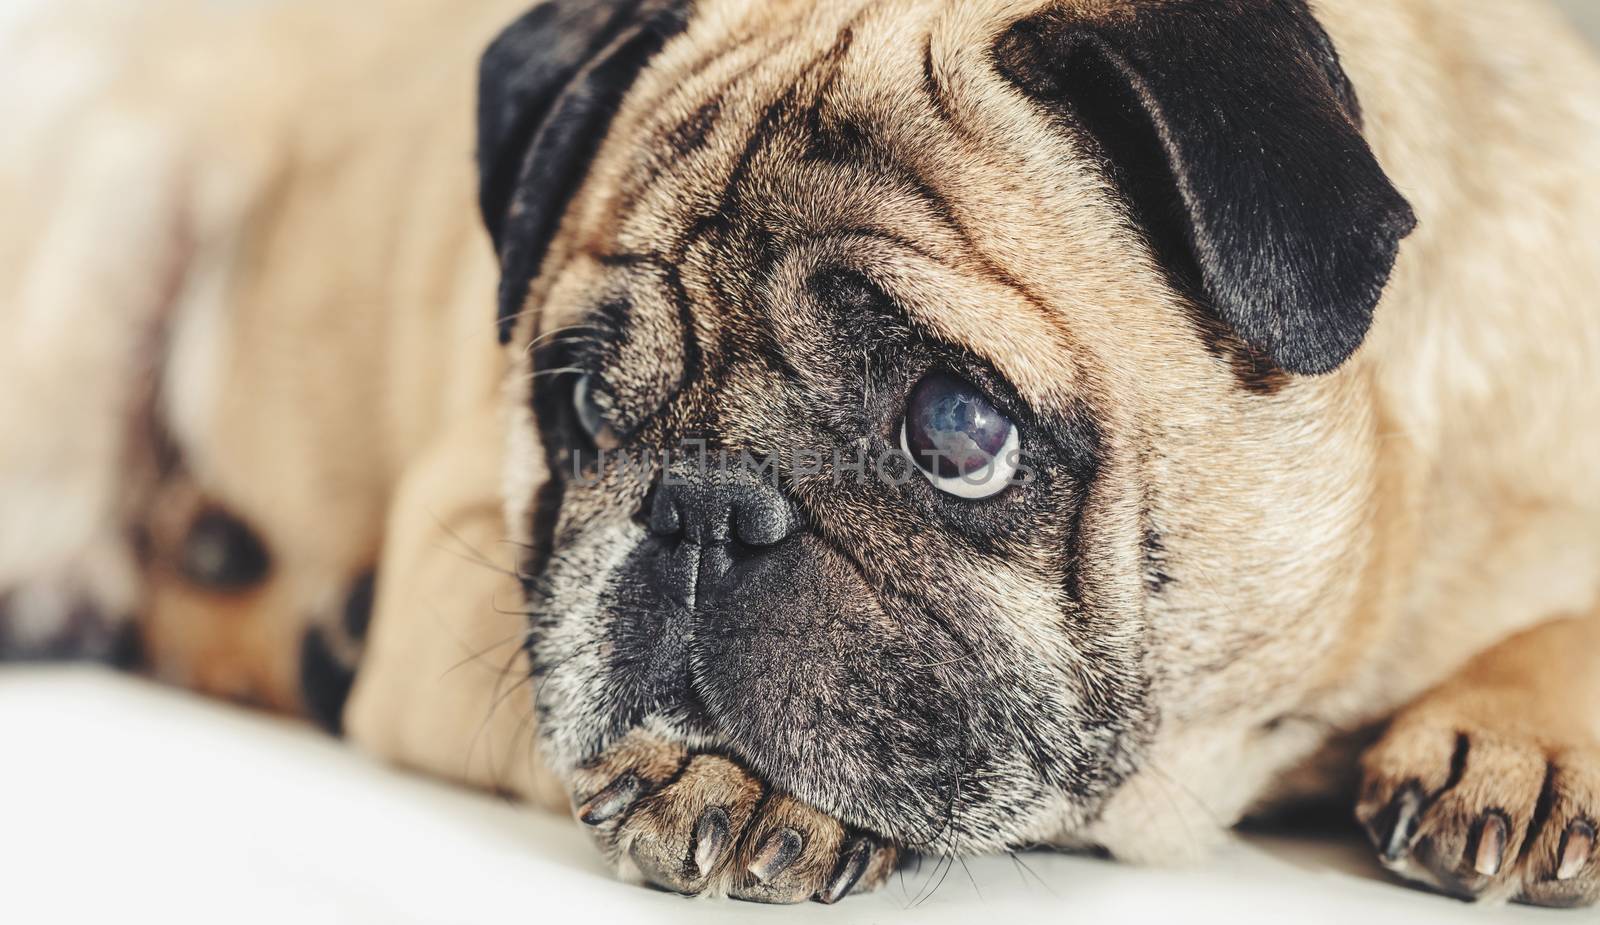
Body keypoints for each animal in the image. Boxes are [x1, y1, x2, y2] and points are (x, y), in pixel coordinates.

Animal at [3, 0, 1600, 908]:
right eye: (582, 408)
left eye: (958, 429)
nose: (701, 510)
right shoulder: (465, 552)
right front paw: (739, 778)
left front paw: (1523, 741)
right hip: (130, 182)